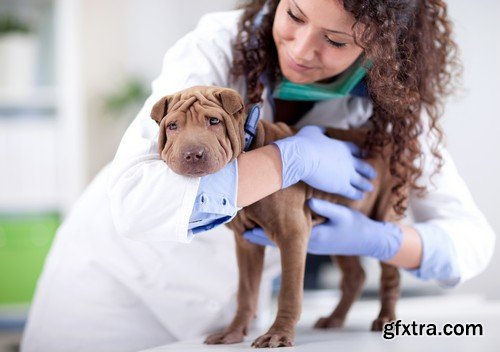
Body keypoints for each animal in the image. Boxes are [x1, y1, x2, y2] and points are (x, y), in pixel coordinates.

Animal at [150, 86, 404, 350]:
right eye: (173, 126)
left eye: (214, 121)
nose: (192, 154)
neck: (251, 144)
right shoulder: (246, 244)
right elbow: (246, 291)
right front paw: (233, 332)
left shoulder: (293, 235)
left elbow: (289, 292)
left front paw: (278, 334)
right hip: (342, 234)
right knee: (355, 275)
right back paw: (334, 318)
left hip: (385, 215)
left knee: (390, 272)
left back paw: (385, 318)